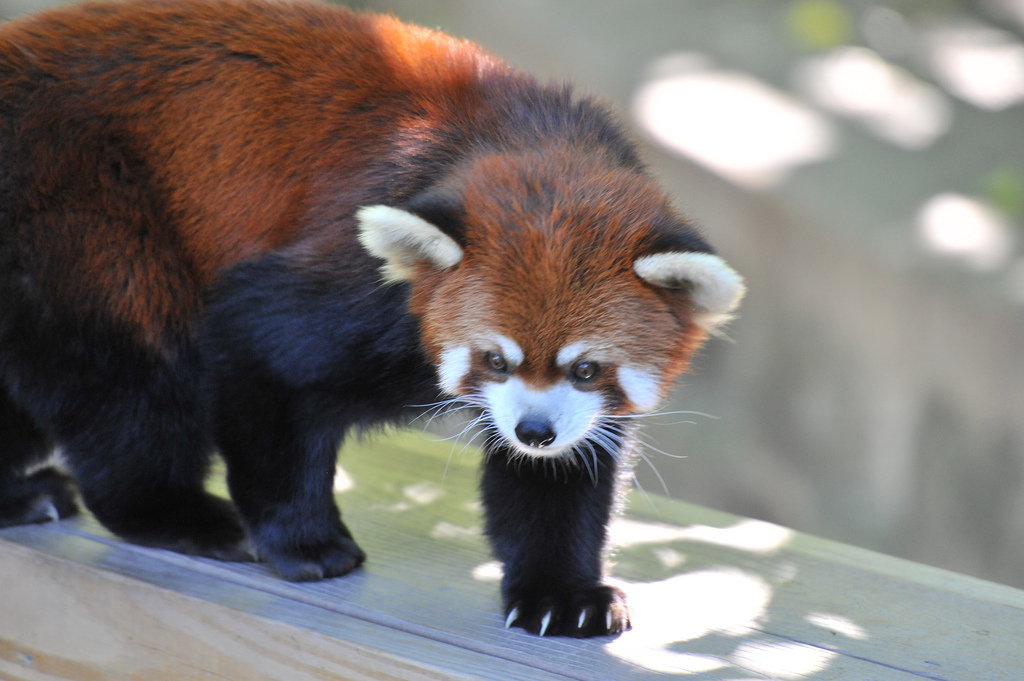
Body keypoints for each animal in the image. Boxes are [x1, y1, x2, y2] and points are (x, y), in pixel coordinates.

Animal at [0, 0, 741, 639]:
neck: (536, 143)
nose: (534, 431)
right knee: (129, 375)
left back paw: (22, 495)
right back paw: (178, 512)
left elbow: (559, 481)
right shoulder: (351, 291)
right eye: (494, 358)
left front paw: (562, 593)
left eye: (586, 368)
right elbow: (260, 353)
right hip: (82, 211)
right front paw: (305, 543)